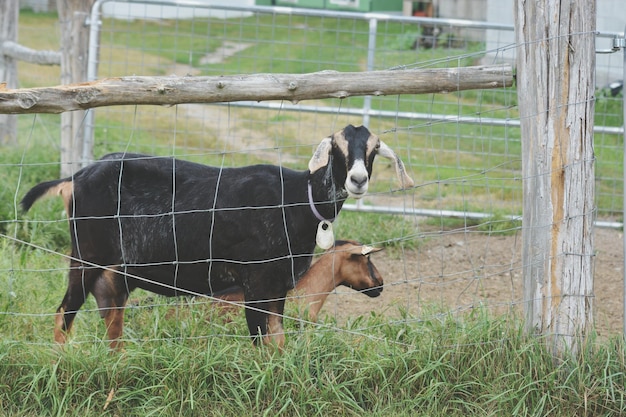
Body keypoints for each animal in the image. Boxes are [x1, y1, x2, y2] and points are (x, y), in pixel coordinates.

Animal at [20, 123, 410, 348]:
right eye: (337, 147)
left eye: (374, 149)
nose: (357, 180)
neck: (298, 198)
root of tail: (74, 179)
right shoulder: (255, 281)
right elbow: (261, 343)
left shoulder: (279, 285)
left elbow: (279, 343)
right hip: (85, 256)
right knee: (64, 314)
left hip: (114, 275)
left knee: (110, 322)